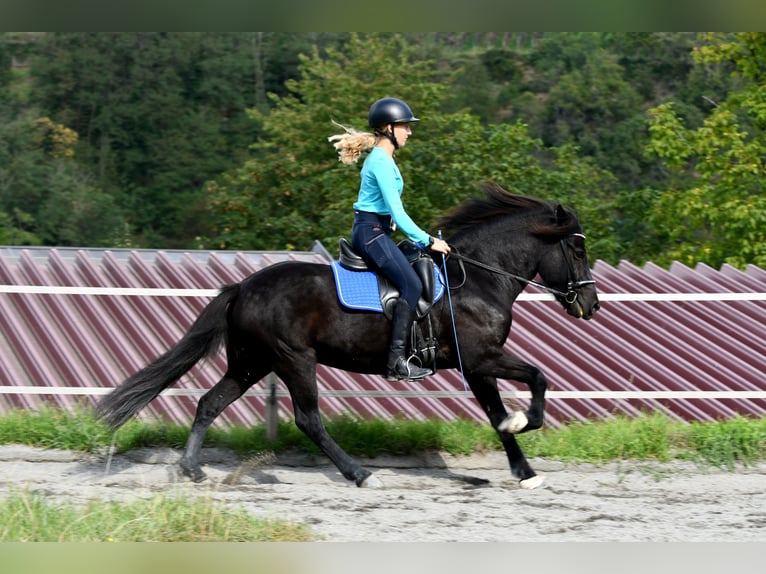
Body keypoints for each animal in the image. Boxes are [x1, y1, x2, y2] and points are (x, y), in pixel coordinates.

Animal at [95, 182, 600, 489]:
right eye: (576, 249)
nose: (590, 306)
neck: (478, 279)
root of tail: (244, 287)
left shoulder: (476, 366)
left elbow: (496, 415)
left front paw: (525, 470)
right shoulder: (483, 358)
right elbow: (538, 378)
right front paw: (525, 423)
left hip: (252, 362)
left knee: (209, 403)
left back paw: (190, 469)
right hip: (294, 359)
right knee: (308, 419)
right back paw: (359, 473)